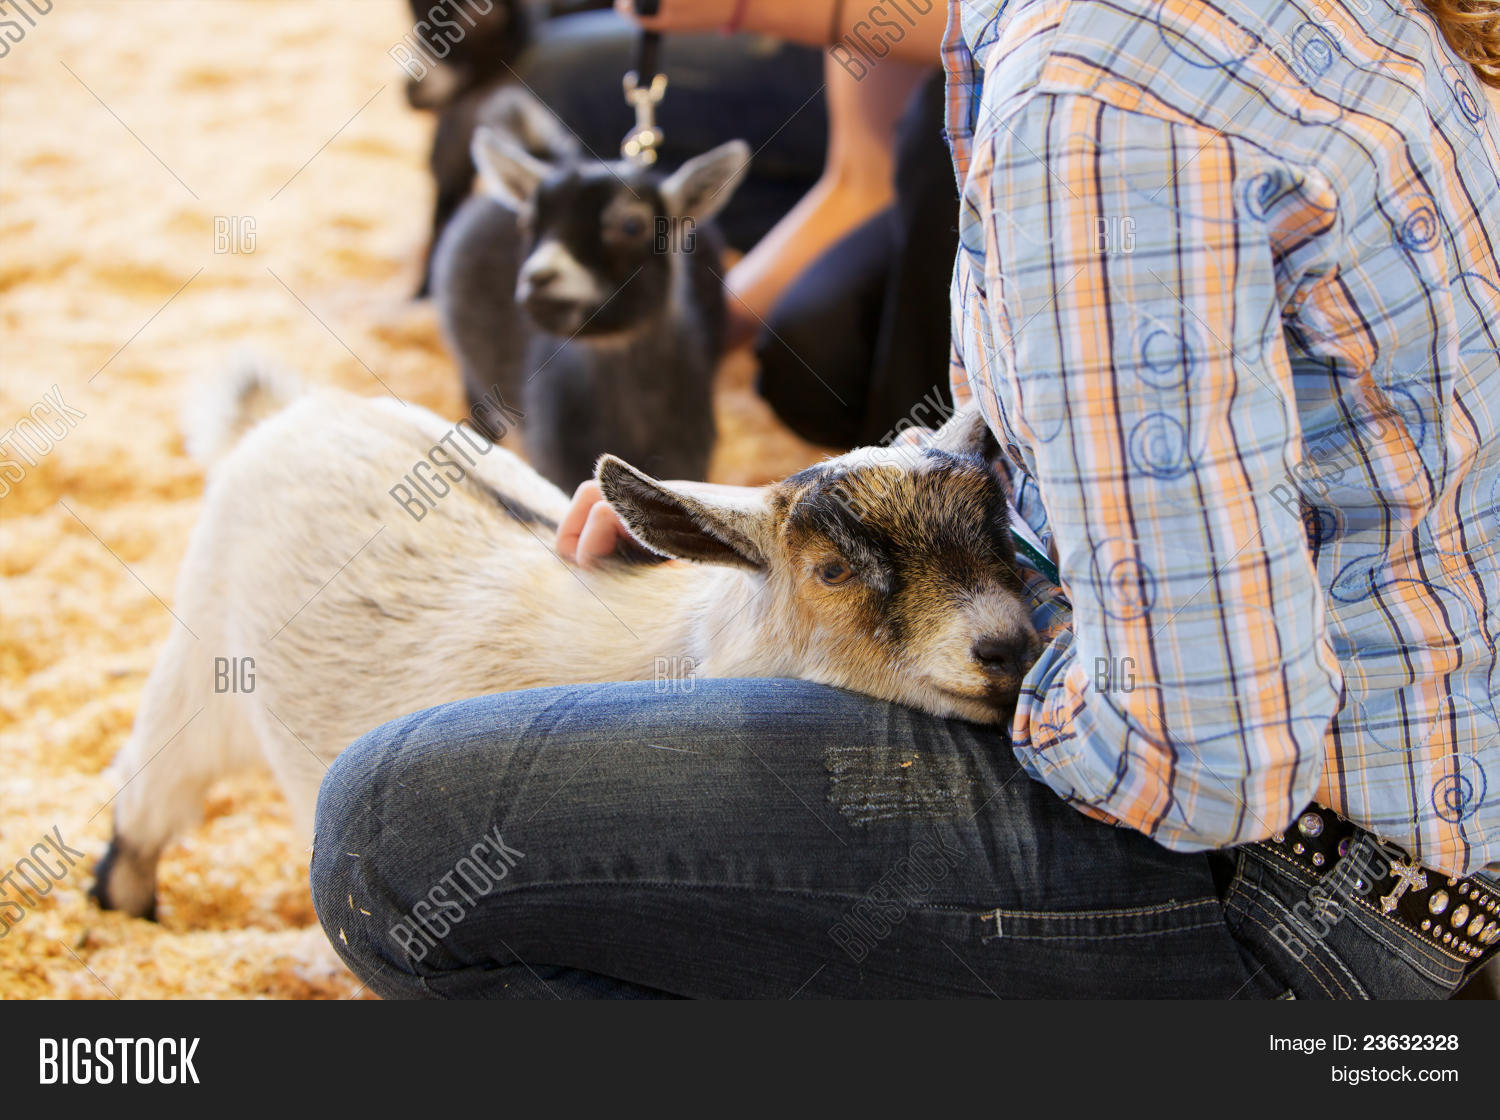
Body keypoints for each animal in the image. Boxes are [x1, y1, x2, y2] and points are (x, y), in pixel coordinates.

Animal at [91, 364, 1039, 919]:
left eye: (1001, 534)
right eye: (832, 571)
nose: (1007, 648)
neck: (679, 646)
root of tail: (295, 413)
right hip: (202, 665)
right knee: (149, 789)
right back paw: (124, 904)